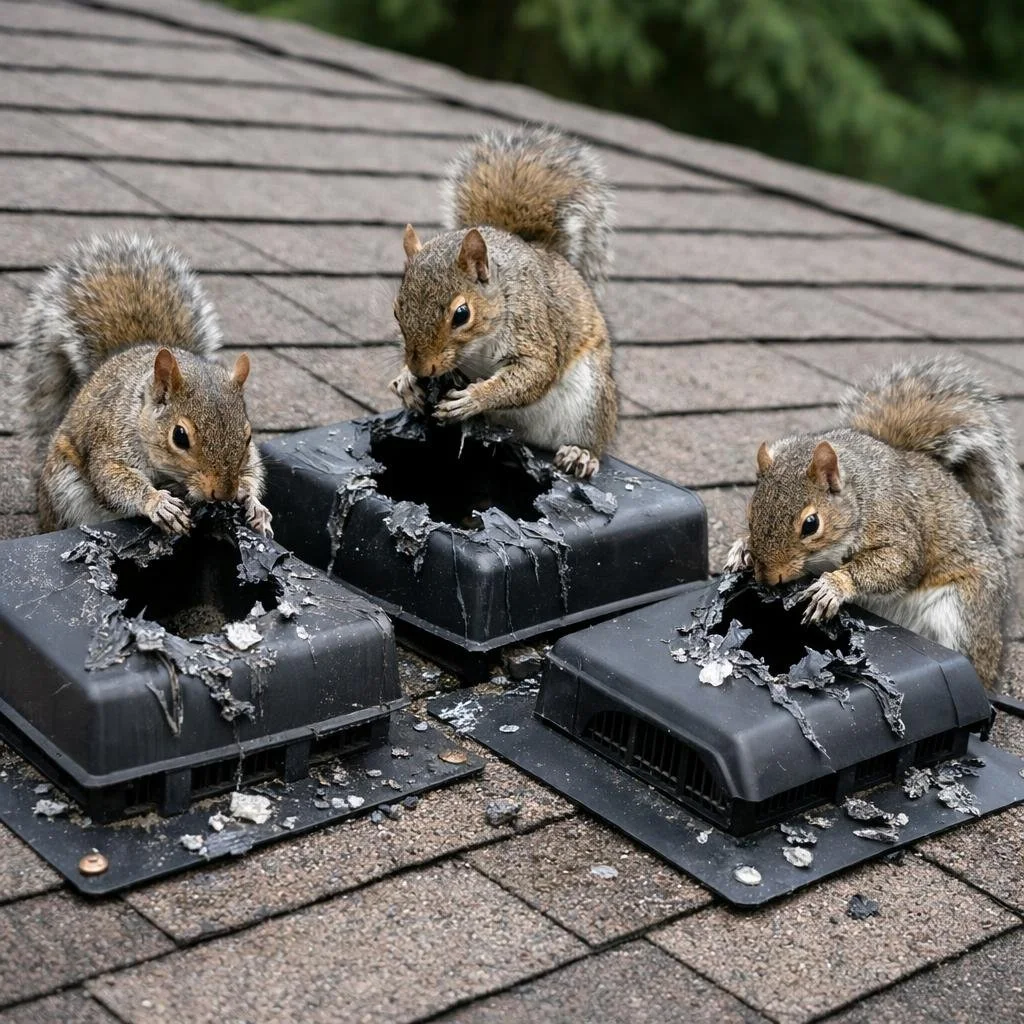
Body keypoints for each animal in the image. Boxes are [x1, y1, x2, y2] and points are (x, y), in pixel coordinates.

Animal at [17, 233, 272, 536]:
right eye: (180, 436)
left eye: (248, 436)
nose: (223, 493)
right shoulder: (112, 442)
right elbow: (112, 478)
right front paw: (159, 503)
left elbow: (254, 474)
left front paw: (255, 505)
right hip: (62, 489)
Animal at [388, 124, 618, 479]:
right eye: (397, 312)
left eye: (462, 314)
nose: (422, 369)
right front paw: (405, 381)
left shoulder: (532, 328)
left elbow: (535, 372)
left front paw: (474, 398)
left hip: (591, 397)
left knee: (594, 434)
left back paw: (581, 453)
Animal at [724, 358, 1021, 687]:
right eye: (751, 514)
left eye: (811, 524)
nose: (768, 578)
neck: (860, 494)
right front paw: (742, 549)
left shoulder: (894, 524)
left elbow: (898, 561)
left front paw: (834, 586)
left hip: (964, 610)